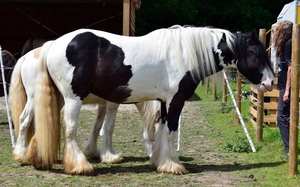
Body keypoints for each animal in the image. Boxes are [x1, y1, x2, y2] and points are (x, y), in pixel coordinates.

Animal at [24, 25, 274, 175]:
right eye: (255, 54)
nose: (270, 83)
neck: (184, 54)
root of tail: (53, 44)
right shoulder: (175, 100)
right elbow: (170, 131)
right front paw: (173, 165)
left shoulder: (163, 102)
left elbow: (161, 131)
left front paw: (159, 162)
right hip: (72, 98)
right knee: (70, 128)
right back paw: (79, 166)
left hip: (58, 98)